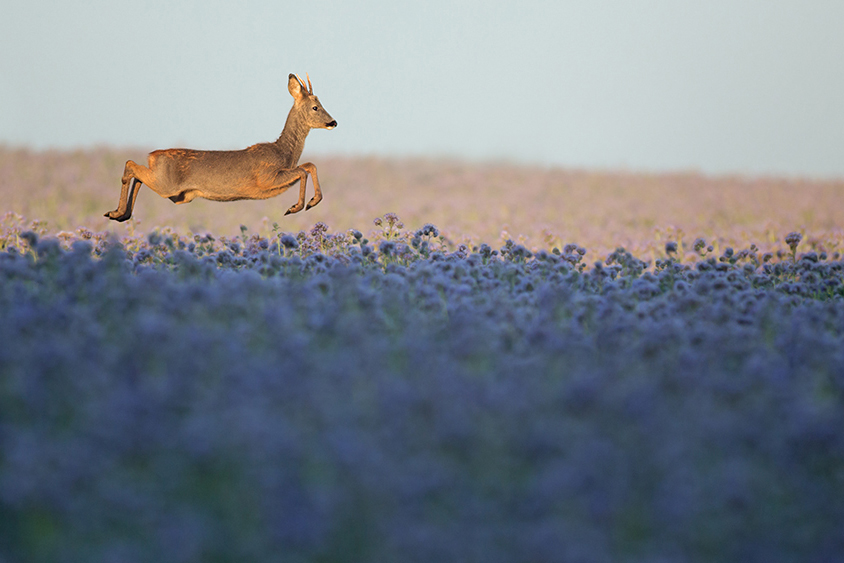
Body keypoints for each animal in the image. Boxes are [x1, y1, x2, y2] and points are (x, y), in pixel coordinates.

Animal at [107, 74, 338, 223]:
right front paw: (298, 206)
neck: (284, 153)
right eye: (315, 107)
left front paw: (310, 202)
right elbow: (303, 170)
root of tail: (153, 155)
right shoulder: (266, 177)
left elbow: (309, 165)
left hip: (175, 191)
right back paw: (116, 213)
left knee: (138, 174)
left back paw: (120, 214)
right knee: (131, 165)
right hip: (166, 184)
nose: (333, 122)